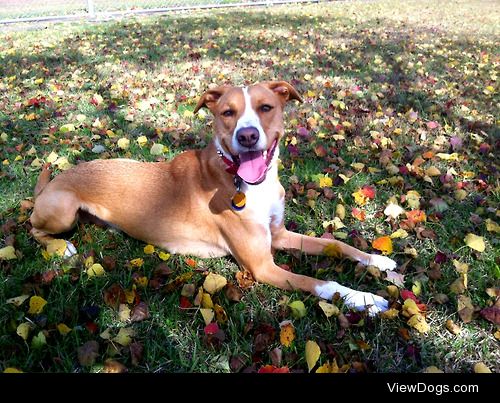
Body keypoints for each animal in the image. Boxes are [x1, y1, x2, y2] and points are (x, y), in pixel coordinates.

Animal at [29, 81, 396, 316]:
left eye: (266, 108)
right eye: (227, 112)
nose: (246, 136)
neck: (247, 182)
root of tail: (50, 184)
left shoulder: (278, 235)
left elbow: (337, 244)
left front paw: (377, 261)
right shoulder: (262, 267)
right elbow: (322, 283)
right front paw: (364, 299)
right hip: (62, 210)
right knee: (33, 228)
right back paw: (63, 247)